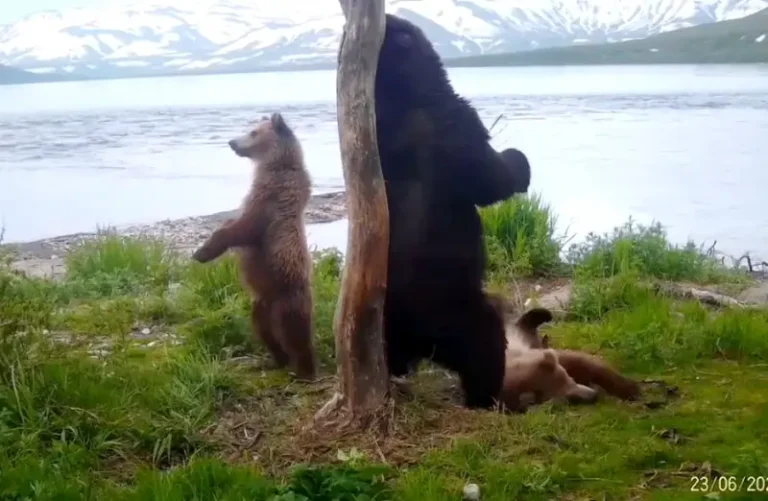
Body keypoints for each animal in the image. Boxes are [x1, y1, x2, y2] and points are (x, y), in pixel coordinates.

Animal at [191, 113, 317, 381]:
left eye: (253, 132)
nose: (232, 142)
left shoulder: (271, 202)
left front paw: (202, 252)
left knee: (295, 333)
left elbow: (241, 228)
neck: (274, 166)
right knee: (264, 330)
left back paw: (304, 369)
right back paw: (277, 359)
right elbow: (235, 222)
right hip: (261, 304)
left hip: (287, 296)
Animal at [373, 14, 533, 409]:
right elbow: (490, 179)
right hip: (455, 309)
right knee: (485, 342)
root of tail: (421, 341)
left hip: (389, 315)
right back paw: (487, 397)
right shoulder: (457, 124)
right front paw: (519, 161)